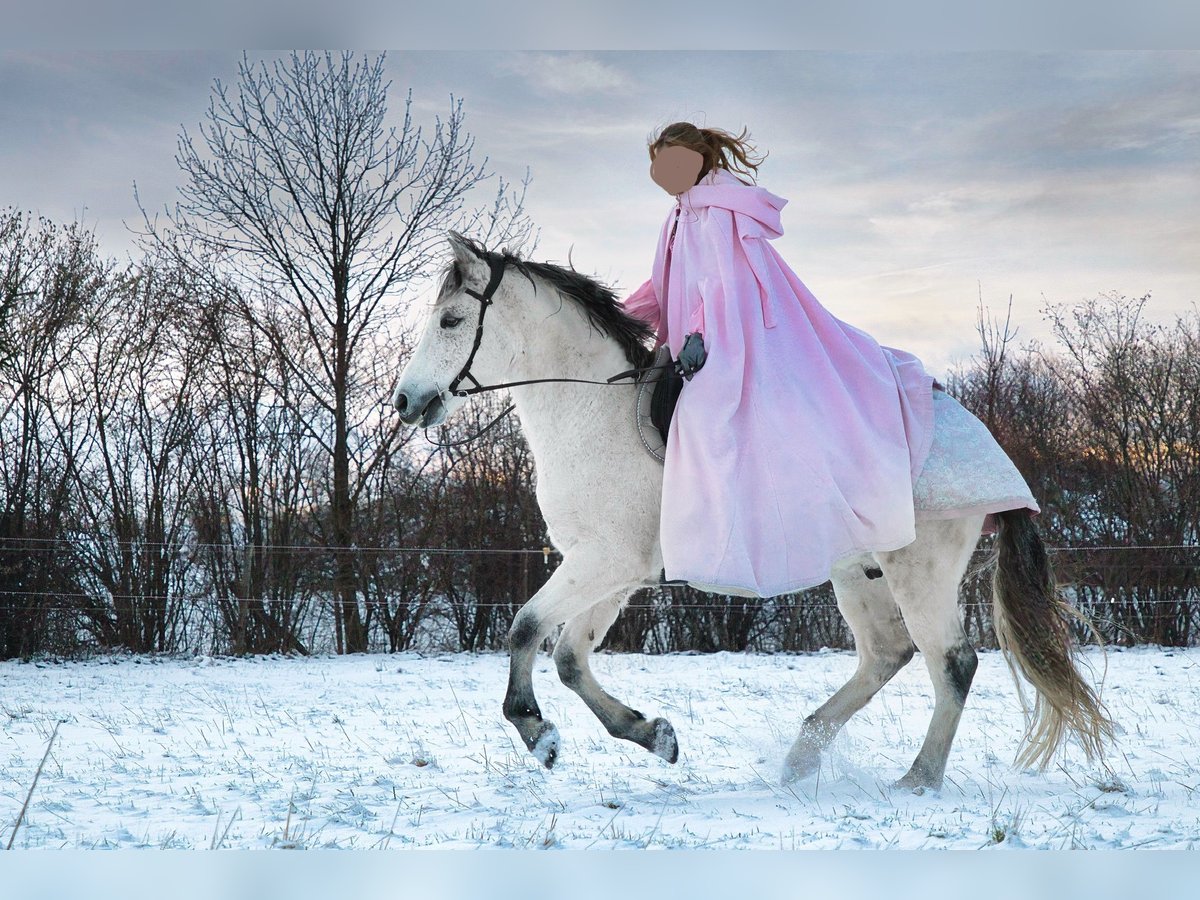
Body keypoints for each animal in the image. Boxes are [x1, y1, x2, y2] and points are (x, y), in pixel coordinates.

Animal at [393, 230, 1113, 787]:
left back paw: (917, 779)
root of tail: (986, 446)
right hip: (860, 573)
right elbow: (570, 656)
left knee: (952, 664)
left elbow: (522, 628)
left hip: (920, 571)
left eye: (450, 321)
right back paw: (802, 756)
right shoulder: (613, 570)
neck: (593, 409)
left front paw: (538, 733)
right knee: (888, 654)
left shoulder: (602, 562)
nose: (405, 402)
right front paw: (654, 734)